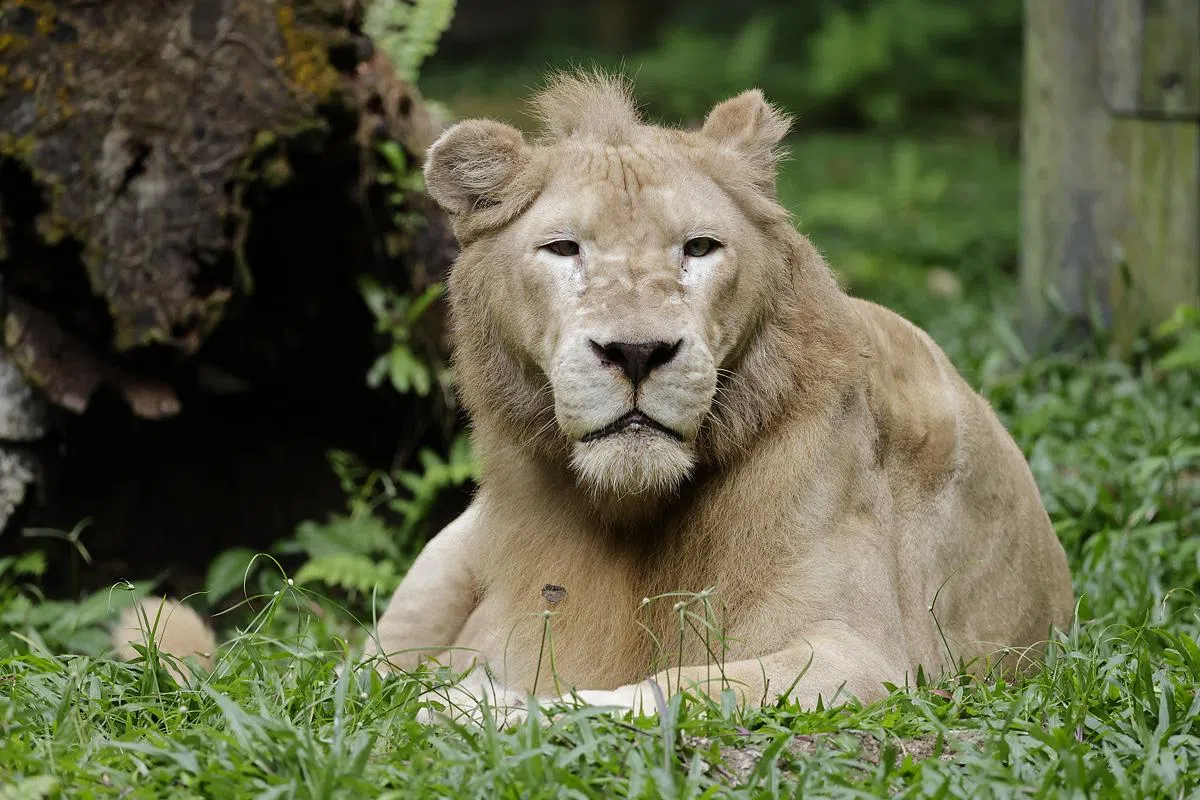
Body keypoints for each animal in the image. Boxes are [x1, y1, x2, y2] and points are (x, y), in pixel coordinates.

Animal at [366, 72, 1076, 721]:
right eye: (564, 248)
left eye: (700, 247)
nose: (637, 352)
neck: (634, 509)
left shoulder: (874, 659)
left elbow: (678, 686)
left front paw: (498, 707)